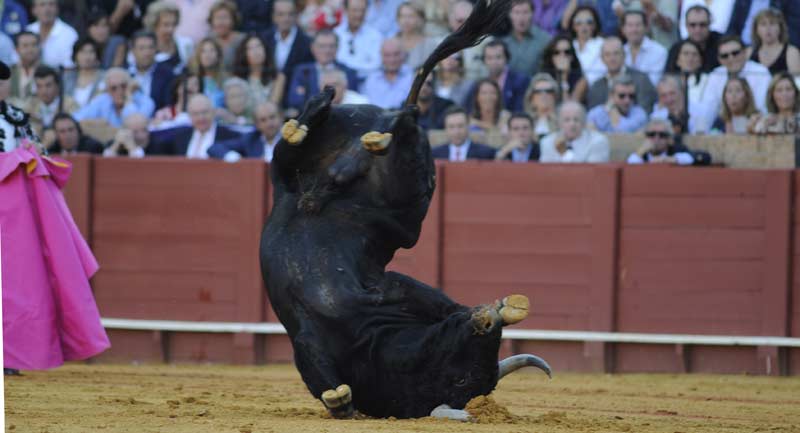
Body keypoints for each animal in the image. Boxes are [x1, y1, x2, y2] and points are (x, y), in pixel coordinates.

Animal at [260, 0, 552, 418]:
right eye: (461, 379)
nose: (484, 324)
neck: (369, 336)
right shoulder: (345, 317)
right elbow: (331, 384)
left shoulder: (388, 291)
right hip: (333, 153)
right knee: (292, 157)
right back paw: (323, 113)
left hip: (408, 192)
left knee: (403, 125)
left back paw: (366, 132)